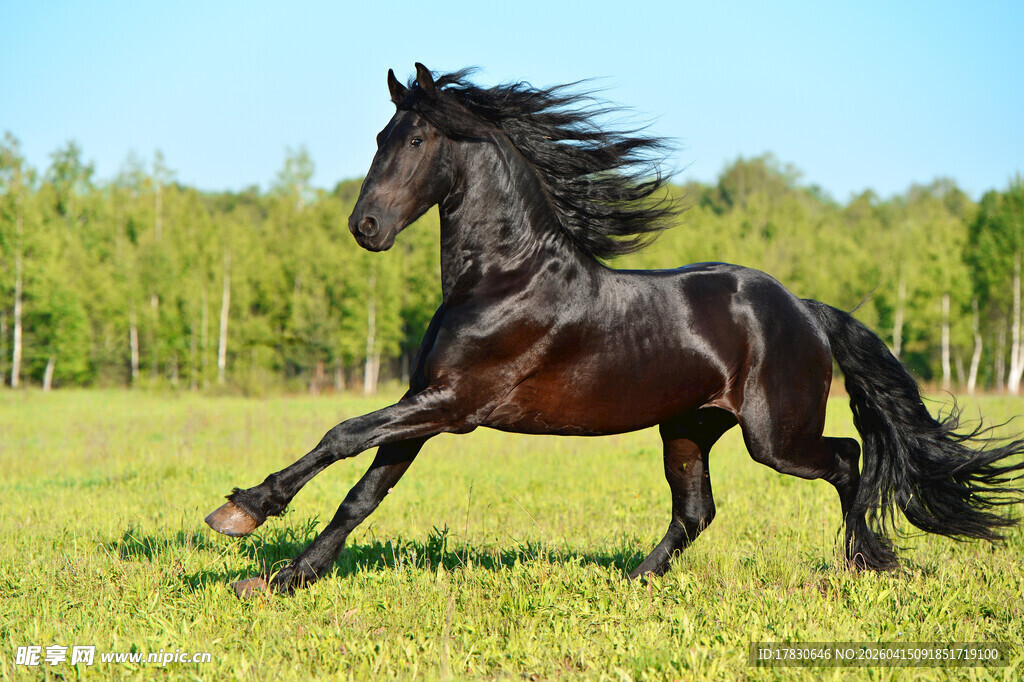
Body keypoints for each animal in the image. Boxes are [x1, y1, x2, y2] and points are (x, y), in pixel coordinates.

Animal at [206, 63, 1024, 595]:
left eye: (414, 140)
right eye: (381, 132)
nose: (366, 228)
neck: (501, 277)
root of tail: (803, 308)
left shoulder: (453, 406)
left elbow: (341, 436)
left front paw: (244, 508)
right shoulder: (426, 406)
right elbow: (362, 493)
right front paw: (282, 577)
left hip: (776, 437)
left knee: (850, 461)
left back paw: (865, 563)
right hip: (689, 427)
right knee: (697, 511)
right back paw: (635, 579)